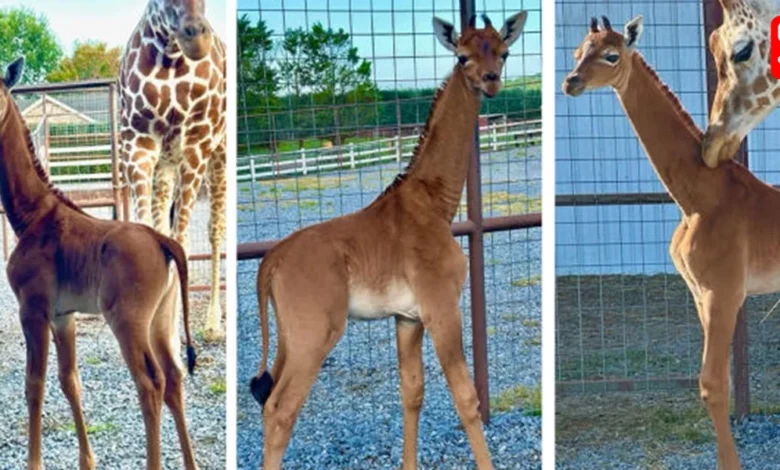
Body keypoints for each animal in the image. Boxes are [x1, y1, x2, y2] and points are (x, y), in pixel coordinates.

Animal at [1, 59, 201, 470]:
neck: (32, 216)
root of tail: (163, 240)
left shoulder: (33, 309)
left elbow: (34, 384)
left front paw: (34, 463)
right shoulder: (63, 315)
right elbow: (69, 380)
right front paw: (87, 460)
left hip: (127, 320)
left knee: (150, 382)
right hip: (161, 319)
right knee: (174, 378)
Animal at [118, 0, 225, 336]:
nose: (196, 37)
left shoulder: (197, 142)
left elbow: (182, 242)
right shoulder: (138, 144)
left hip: (217, 153)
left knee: (215, 229)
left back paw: (214, 321)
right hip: (166, 164)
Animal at [250, 11, 532, 470]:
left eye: (504, 52)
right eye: (462, 55)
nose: (491, 81)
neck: (435, 203)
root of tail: (269, 262)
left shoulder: (407, 318)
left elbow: (412, 392)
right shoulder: (441, 308)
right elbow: (466, 398)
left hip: (290, 335)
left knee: (266, 397)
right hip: (315, 333)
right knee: (280, 408)